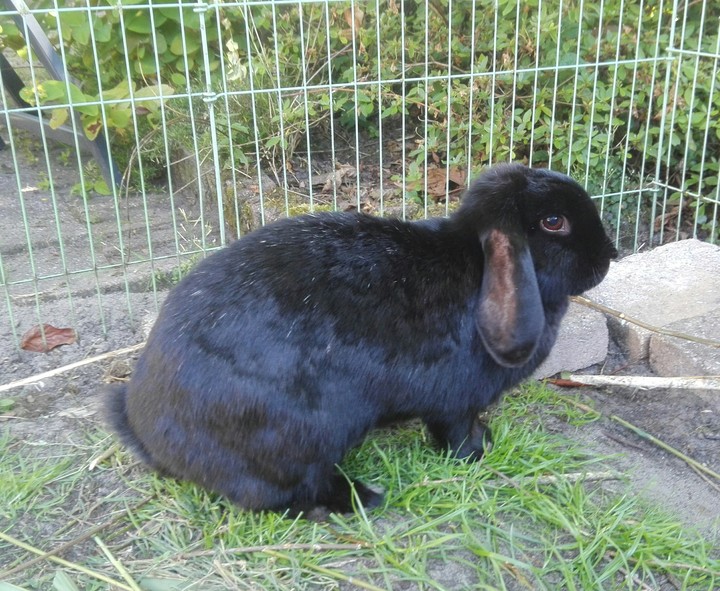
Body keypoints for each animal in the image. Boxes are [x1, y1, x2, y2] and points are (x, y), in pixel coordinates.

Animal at [105, 162, 617, 515]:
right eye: (553, 222)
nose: (609, 255)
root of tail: (149, 432)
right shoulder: (453, 401)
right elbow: (452, 433)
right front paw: (475, 454)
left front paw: (486, 440)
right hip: (304, 435)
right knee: (285, 494)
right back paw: (363, 498)